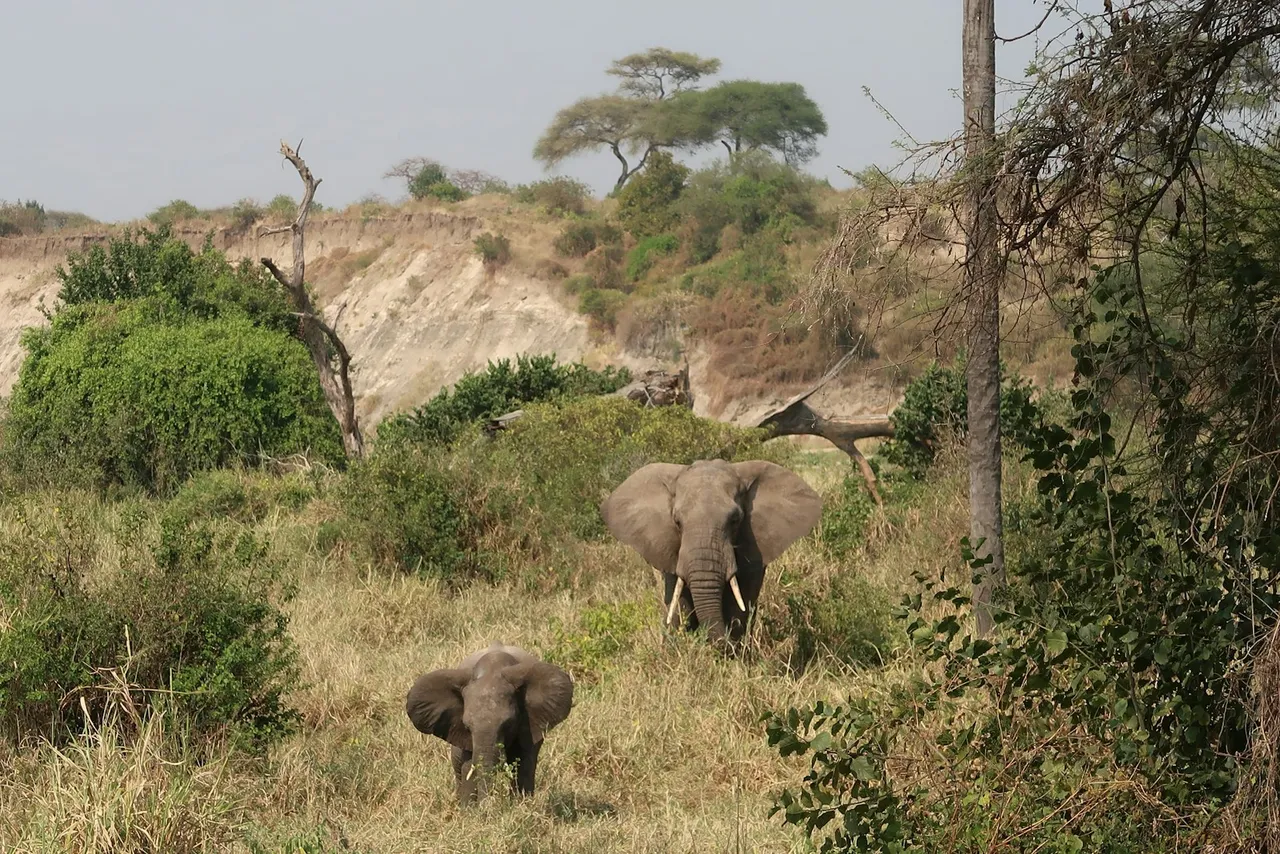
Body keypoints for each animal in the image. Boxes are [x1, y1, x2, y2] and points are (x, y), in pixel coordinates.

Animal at [405, 642, 574, 803]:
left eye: (508, 724)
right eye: (467, 727)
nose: (488, 806)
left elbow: (524, 764)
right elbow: (468, 766)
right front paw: (471, 810)